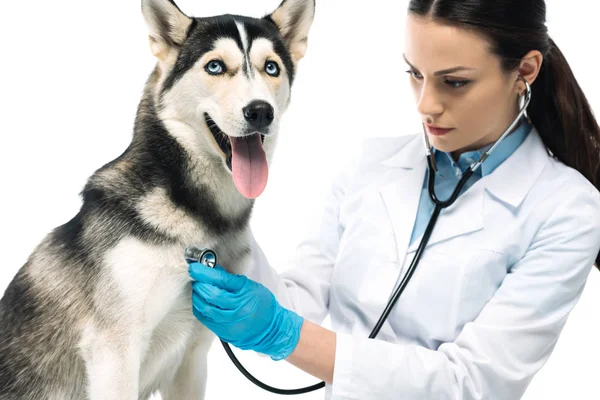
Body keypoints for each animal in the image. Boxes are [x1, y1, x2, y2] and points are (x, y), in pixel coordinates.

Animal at [0, 0, 316, 396]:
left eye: (271, 67)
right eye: (215, 66)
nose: (260, 111)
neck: (197, 213)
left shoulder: (193, 356)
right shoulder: (115, 352)